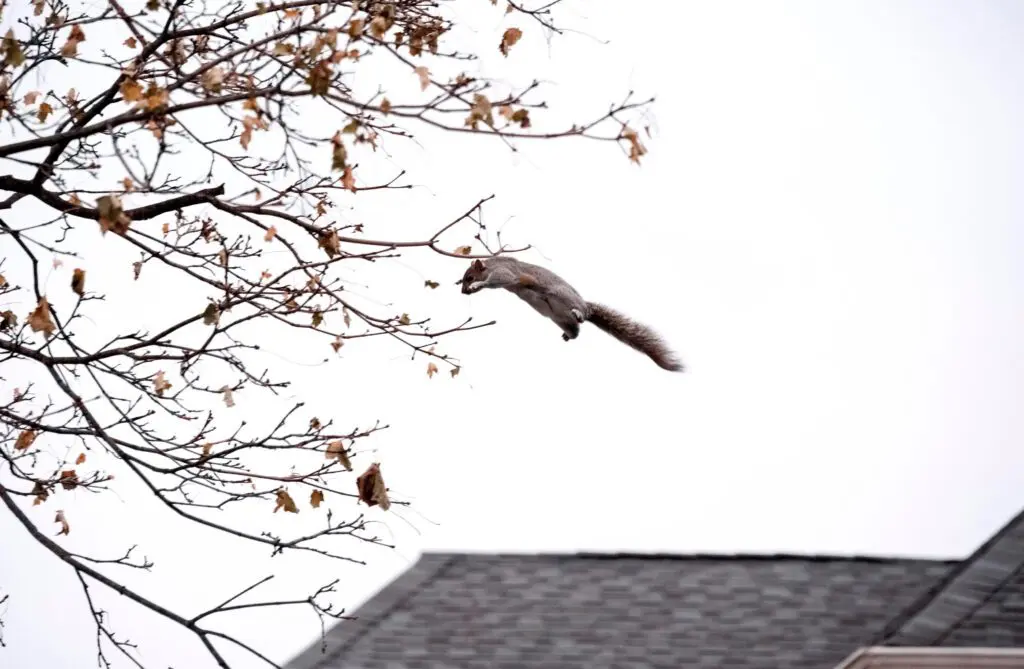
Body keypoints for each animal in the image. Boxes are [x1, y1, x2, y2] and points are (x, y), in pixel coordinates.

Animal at [458, 256, 684, 372]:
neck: (492, 264)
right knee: (576, 330)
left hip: (562, 296)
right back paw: (570, 335)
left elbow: (497, 280)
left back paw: (579, 313)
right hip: (558, 317)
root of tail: (586, 307)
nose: (463, 291)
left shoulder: (506, 273)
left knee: (580, 313)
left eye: (469, 277)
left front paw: (480, 284)